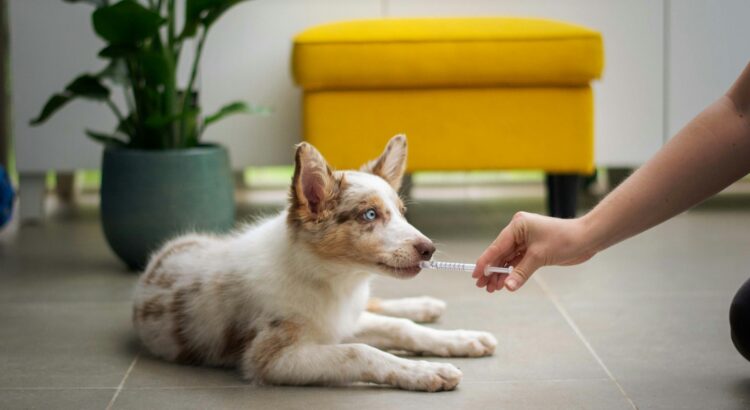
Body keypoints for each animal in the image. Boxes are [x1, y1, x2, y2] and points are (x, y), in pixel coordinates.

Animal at [134, 135, 500, 390]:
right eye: (370, 215)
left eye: (401, 212)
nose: (429, 250)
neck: (332, 279)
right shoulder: (271, 358)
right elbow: (361, 351)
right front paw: (427, 371)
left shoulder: (342, 320)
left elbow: (401, 328)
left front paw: (459, 340)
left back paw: (425, 306)